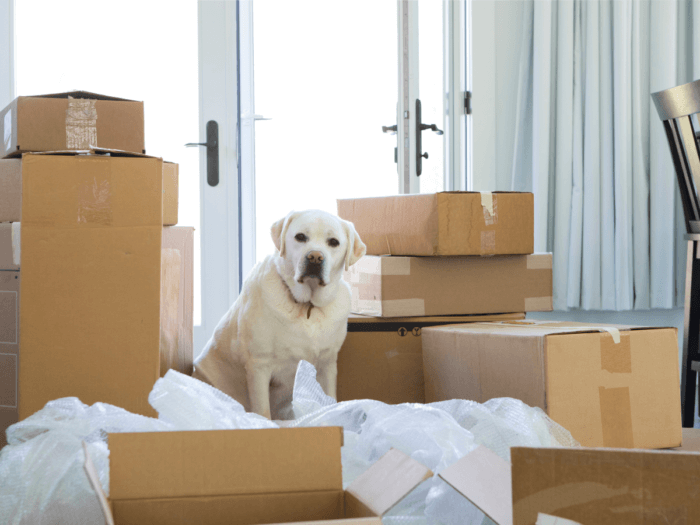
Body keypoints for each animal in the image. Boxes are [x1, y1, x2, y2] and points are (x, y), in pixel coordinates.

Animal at [191, 208, 366, 418]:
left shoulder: (328, 364)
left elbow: (330, 398)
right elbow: (262, 410)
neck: (307, 306)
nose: (315, 257)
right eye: (300, 237)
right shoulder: (259, 365)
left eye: (333, 242)